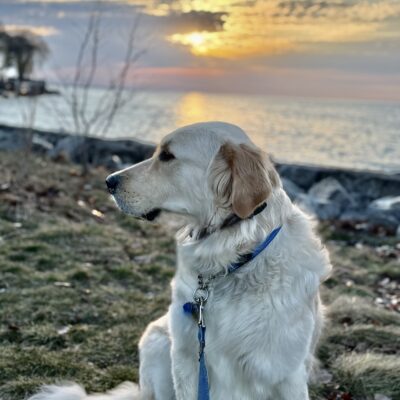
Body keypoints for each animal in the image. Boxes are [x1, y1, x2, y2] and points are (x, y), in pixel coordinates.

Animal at [30, 122, 331, 400]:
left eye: (167, 156)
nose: (108, 181)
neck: (231, 258)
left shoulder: (287, 372)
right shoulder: (186, 357)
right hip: (157, 344)